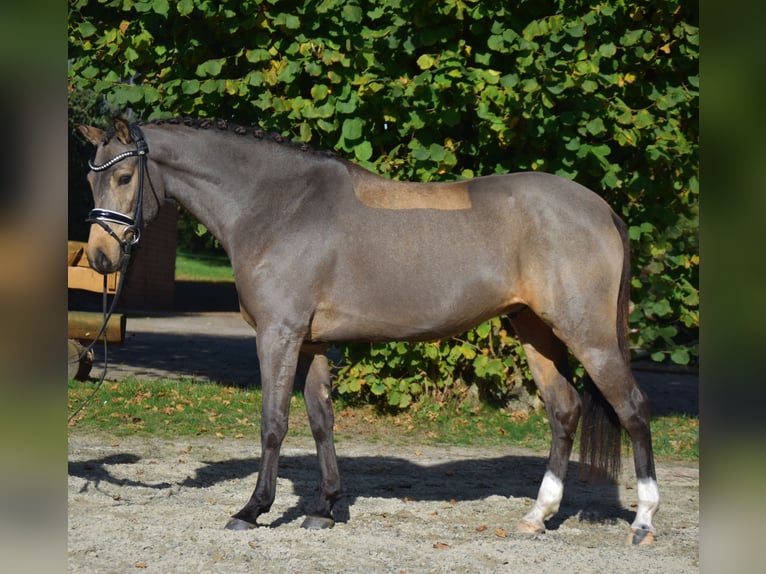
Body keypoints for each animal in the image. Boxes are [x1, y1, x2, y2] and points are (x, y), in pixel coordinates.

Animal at [79, 116, 660, 544]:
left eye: (125, 178)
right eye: (90, 179)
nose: (101, 258)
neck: (278, 205)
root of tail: (602, 209)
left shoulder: (279, 335)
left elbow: (274, 423)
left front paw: (253, 509)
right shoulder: (312, 342)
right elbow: (321, 422)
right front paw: (325, 508)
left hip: (588, 335)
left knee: (633, 408)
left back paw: (644, 520)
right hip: (535, 329)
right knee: (564, 410)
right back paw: (538, 515)